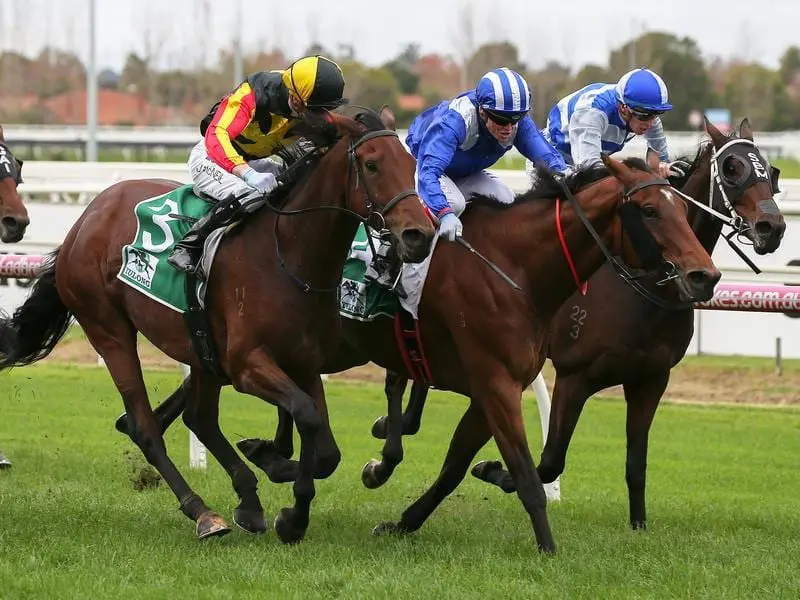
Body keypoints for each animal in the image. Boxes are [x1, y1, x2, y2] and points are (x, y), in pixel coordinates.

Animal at [0, 108, 434, 544]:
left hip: (199, 347)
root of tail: (85, 220)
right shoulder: (246, 364)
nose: (419, 234)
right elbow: (306, 415)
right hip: (109, 331)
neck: (289, 258)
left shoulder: (303, 362)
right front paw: (290, 506)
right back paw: (204, 513)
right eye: (372, 164)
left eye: (411, 164)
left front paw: (279, 477)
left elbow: (326, 450)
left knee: (199, 418)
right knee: (145, 427)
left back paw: (248, 499)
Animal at [368, 118, 788, 528]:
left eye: (773, 172)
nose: (772, 227)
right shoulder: (575, 375)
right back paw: (386, 452)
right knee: (396, 379)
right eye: (732, 169)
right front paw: (492, 469)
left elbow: (636, 463)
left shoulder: (651, 379)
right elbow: (551, 460)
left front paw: (639, 526)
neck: (641, 291)